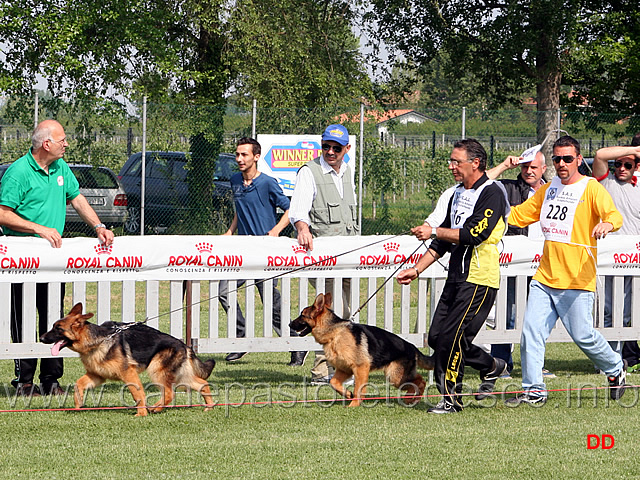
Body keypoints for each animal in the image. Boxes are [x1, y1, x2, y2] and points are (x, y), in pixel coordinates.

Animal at [40, 304, 215, 416]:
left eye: (58, 329)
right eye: (53, 326)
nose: (40, 338)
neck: (97, 341)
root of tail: (185, 345)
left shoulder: (128, 374)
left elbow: (138, 394)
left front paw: (141, 413)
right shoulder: (97, 375)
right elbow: (78, 385)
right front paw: (78, 405)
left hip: (157, 371)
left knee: (169, 393)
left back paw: (155, 408)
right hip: (180, 375)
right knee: (202, 384)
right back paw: (209, 407)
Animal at [290, 292, 436, 404]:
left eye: (302, 315)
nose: (289, 324)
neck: (335, 332)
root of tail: (412, 347)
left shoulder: (360, 368)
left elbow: (358, 389)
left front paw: (354, 404)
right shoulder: (344, 369)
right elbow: (333, 382)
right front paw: (347, 394)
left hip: (394, 376)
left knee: (421, 381)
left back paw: (411, 397)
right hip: (396, 376)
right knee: (419, 380)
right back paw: (412, 398)